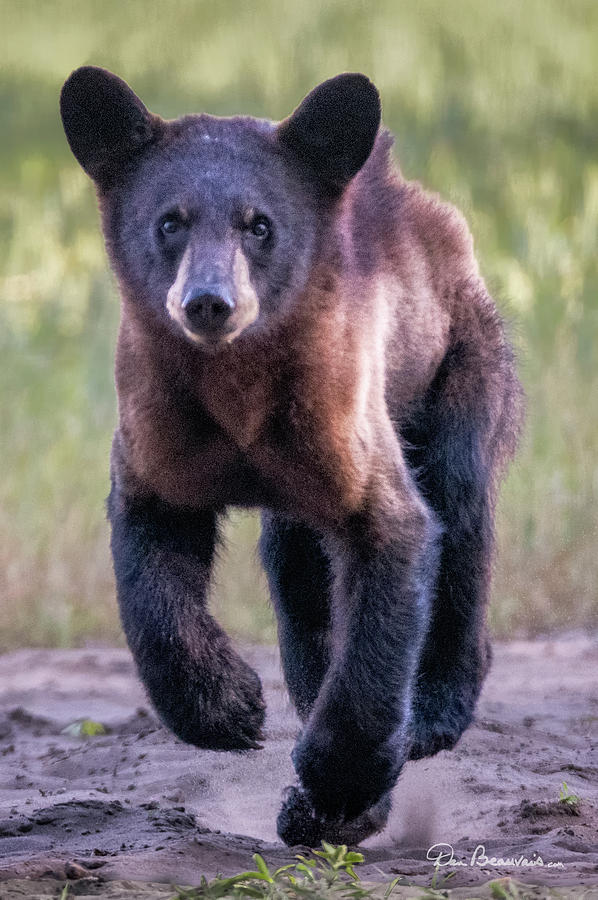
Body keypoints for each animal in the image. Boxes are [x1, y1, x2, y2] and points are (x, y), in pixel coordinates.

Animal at [58, 67, 524, 848]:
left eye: (260, 224)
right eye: (170, 221)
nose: (208, 302)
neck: (239, 393)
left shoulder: (340, 414)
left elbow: (392, 551)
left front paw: (335, 789)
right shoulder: (162, 425)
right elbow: (152, 568)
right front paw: (230, 708)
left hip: (454, 361)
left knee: (459, 511)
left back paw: (434, 710)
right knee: (300, 577)